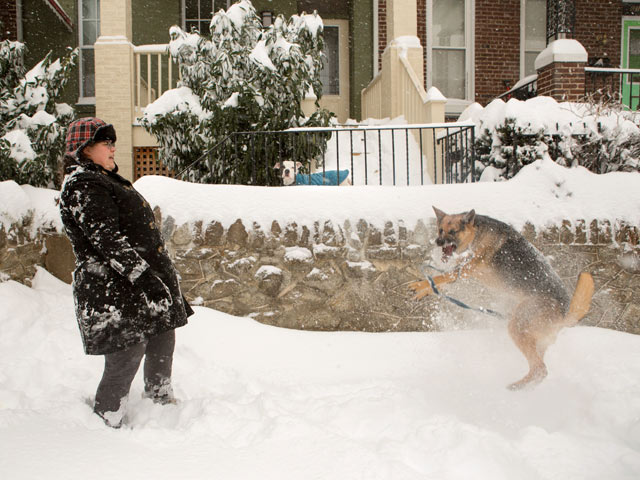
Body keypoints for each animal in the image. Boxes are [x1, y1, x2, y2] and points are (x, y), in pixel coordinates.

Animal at [410, 206, 596, 390]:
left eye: (453, 231)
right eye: (440, 230)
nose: (438, 242)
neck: (476, 234)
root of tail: (566, 314)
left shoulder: (466, 269)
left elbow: (441, 276)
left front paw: (421, 285)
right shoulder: (462, 269)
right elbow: (441, 280)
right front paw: (424, 289)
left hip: (518, 325)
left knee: (540, 369)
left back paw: (514, 388)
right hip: (535, 339)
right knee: (539, 369)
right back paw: (522, 386)